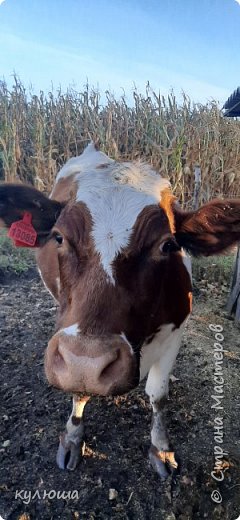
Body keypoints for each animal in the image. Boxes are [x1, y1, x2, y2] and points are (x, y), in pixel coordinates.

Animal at [0, 143, 240, 480]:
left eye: (167, 245)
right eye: (59, 237)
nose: (87, 362)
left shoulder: (176, 330)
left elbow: (158, 395)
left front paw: (160, 447)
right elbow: (79, 391)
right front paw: (73, 436)